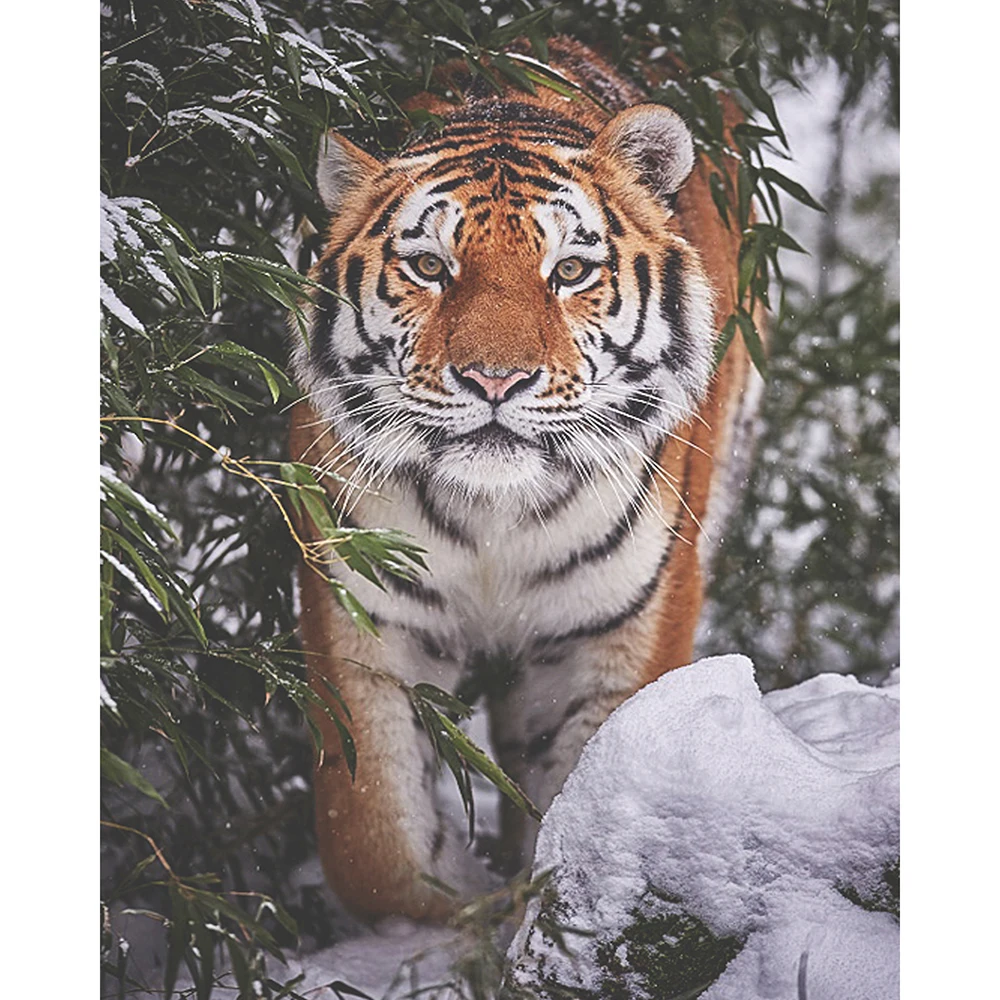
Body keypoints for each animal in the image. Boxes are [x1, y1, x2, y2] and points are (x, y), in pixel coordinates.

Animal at [288, 36, 763, 922]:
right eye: (429, 266)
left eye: (570, 271)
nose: (495, 379)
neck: (493, 515)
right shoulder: (367, 614)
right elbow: (372, 841)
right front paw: (459, 903)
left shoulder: (615, 628)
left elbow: (584, 798)